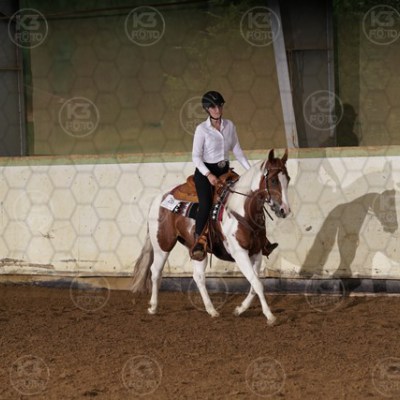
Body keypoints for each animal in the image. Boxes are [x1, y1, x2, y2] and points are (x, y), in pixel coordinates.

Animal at [131, 149, 290, 325]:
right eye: (273, 180)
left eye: (288, 179)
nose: (285, 210)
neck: (242, 210)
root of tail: (159, 198)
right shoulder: (240, 253)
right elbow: (257, 283)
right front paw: (270, 316)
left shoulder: (256, 253)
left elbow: (255, 284)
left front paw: (240, 309)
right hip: (162, 245)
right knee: (156, 271)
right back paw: (153, 306)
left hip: (196, 248)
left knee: (198, 276)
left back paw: (211, 310)